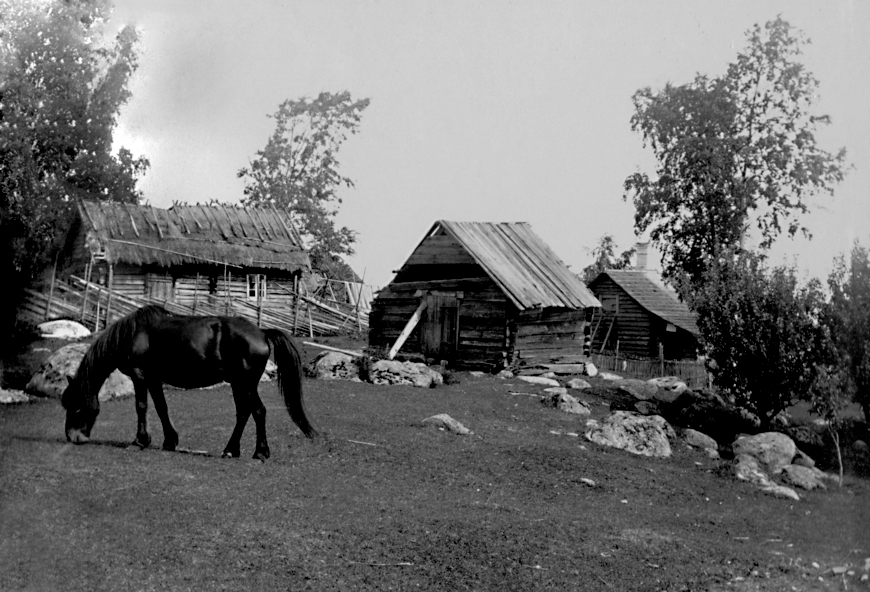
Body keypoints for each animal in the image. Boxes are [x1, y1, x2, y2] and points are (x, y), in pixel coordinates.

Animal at [63, 302, 316, 460]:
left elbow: (141, 406)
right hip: (237, 383)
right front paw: (169, 441)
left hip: (246, 383)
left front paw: (139, 441)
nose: (73, 437)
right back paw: (231, 450)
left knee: (258, 411)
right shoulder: (154, 379)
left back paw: (260, 452)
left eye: (77, 407)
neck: (133, 333)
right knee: (244, 412)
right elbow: (161, 408)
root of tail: (262, 332)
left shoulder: (140, 375)